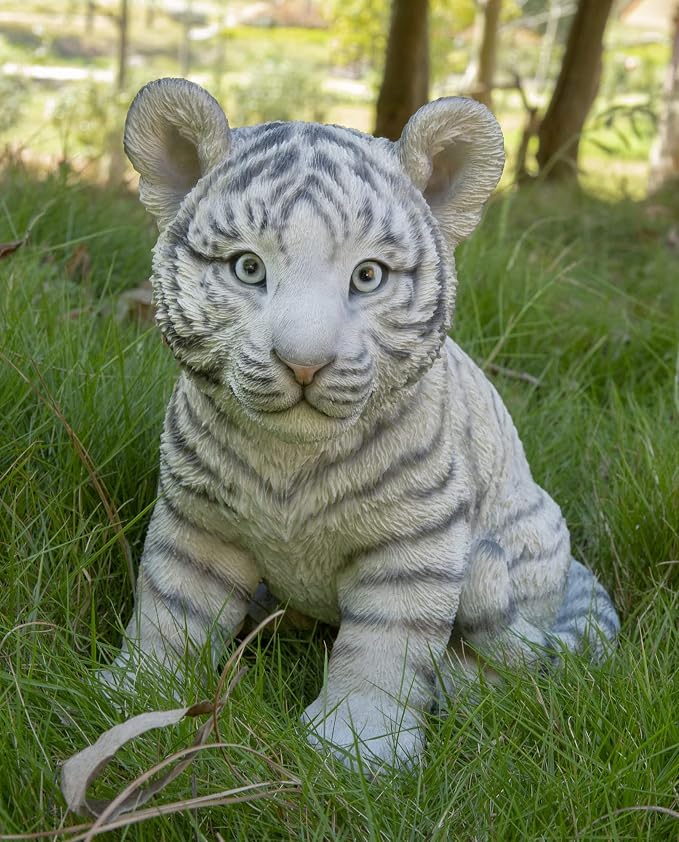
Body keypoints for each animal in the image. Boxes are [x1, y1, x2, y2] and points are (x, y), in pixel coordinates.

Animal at [107, 77, 620, 772]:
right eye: (247, 268)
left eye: (368, 275)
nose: (304, 363)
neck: (289, 458)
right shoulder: (200, 519)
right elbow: (171, 606)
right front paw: (133, 695)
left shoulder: (414, 542)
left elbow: (385, 648)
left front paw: (353, 750)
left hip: (528, 537)